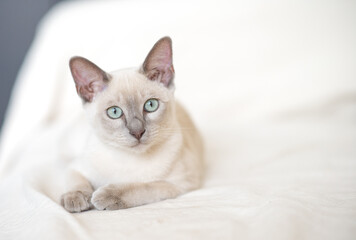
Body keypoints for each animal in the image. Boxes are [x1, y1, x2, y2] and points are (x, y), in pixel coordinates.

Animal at [60, 36, 203, 212]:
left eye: (151, 105)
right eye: (114, 112)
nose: (137, 132)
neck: (130, 159)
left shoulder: (180, 183)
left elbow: (144, 187)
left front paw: (107, 195)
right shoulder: (76, 167)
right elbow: (75, 180)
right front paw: (76, 198)